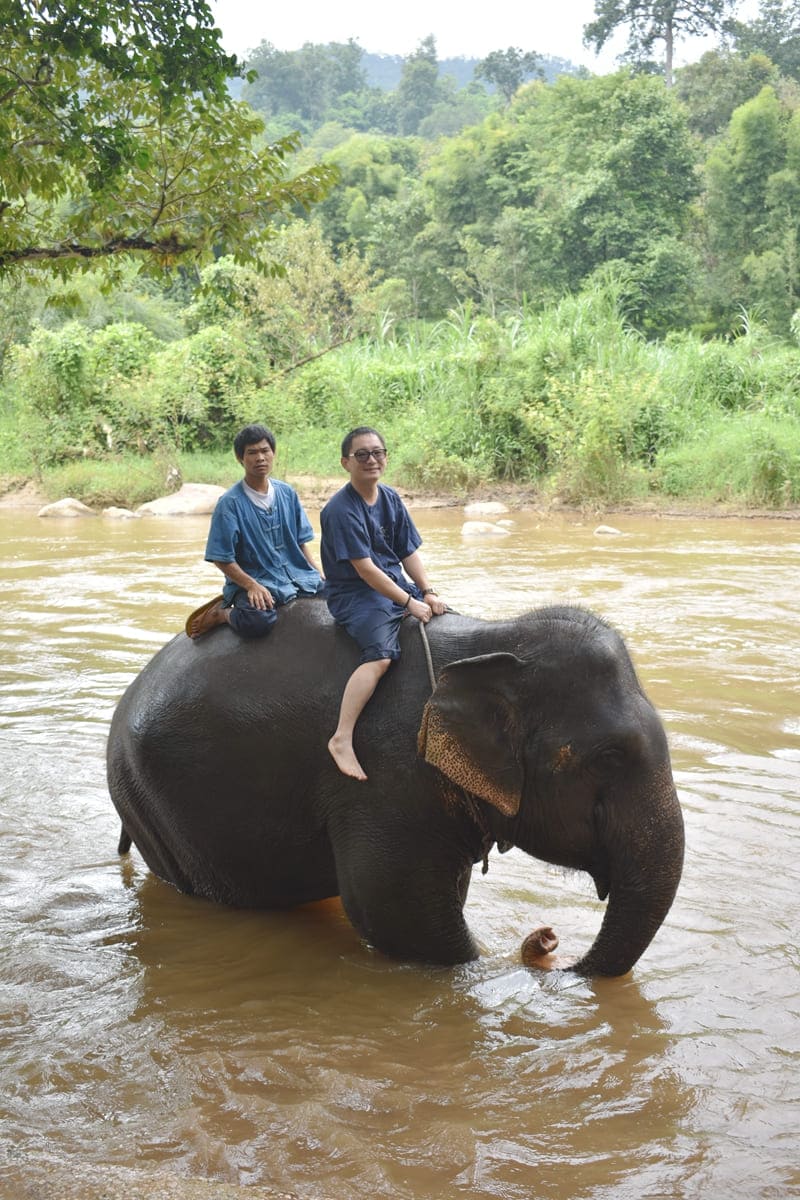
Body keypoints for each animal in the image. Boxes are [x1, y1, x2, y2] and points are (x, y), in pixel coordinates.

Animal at [106, 600, 686, 974]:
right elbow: (399, 914)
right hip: (148, 802)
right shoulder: (384, 777)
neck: (493, 640)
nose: (548, 942)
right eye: (610, 757)